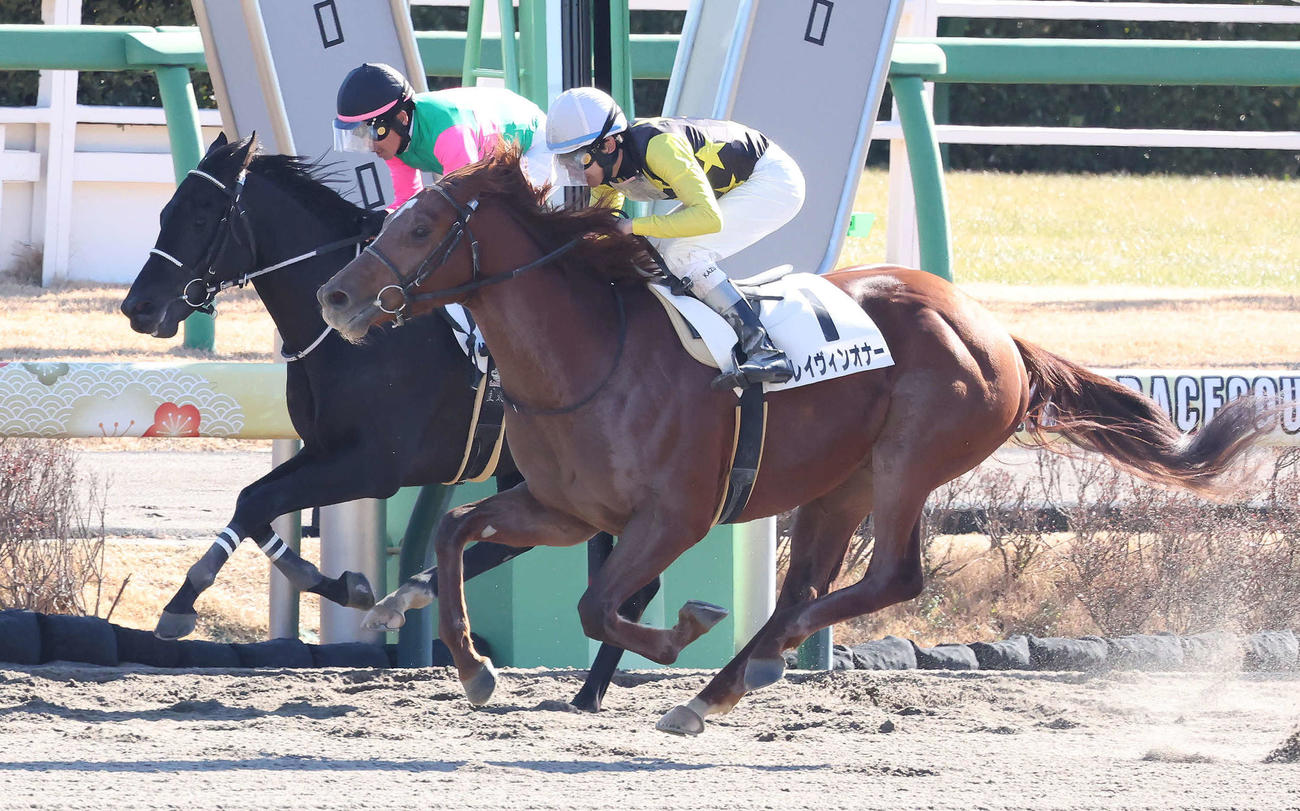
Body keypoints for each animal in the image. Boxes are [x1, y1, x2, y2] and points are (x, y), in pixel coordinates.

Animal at [119, 133, 653, 712]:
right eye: (166, 211)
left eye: (200, 216)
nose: (137, 307)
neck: (358, 340)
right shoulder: (323, 448)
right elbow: (251, 502)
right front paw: (343, 584)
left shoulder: (374, 466)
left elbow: (260, 501)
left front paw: (180, 605)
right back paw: (574, 685)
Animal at [315, 146, 1270, 735]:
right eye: (388, 218)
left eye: (420, 228)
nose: (335, 297)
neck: (590, 353)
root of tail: (996, 332)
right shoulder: (563, 508)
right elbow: (454, 531)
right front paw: (474, 667)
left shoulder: (676, 517)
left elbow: (596, 605)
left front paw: (684, 627)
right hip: (839, 482)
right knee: (810, 582)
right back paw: (720, 687)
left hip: (907, 461)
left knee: (888, 578)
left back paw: (751, 662)